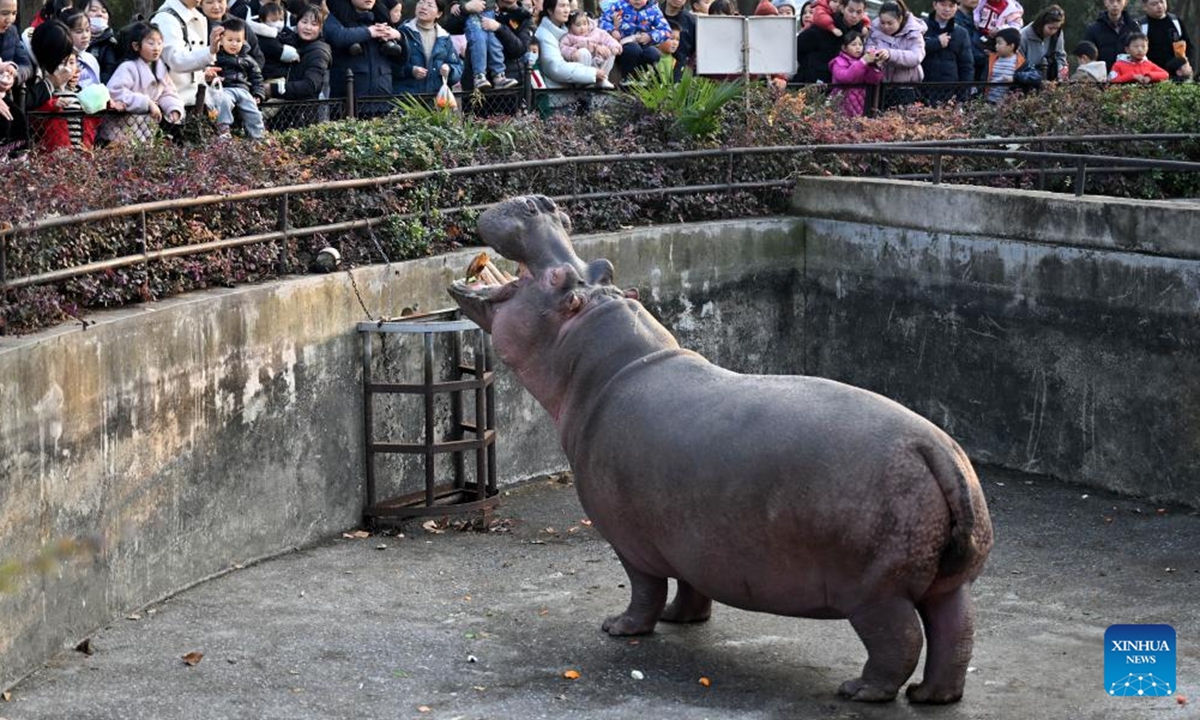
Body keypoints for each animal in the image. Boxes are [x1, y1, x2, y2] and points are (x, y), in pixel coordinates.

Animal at [448, 196, 994, 704]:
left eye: (560, 278)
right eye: (603, 266)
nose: (540, 205)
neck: (602, 360)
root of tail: (936, 450)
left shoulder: (630, 541)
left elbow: (645, 588)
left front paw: (620, 627)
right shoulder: (689, 535)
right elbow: (691, 585)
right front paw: (681, 619)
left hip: (876, 591)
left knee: (899, 640)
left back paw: (859, 690)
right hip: (948, 584)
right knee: (955, 633)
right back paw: (933, 695)